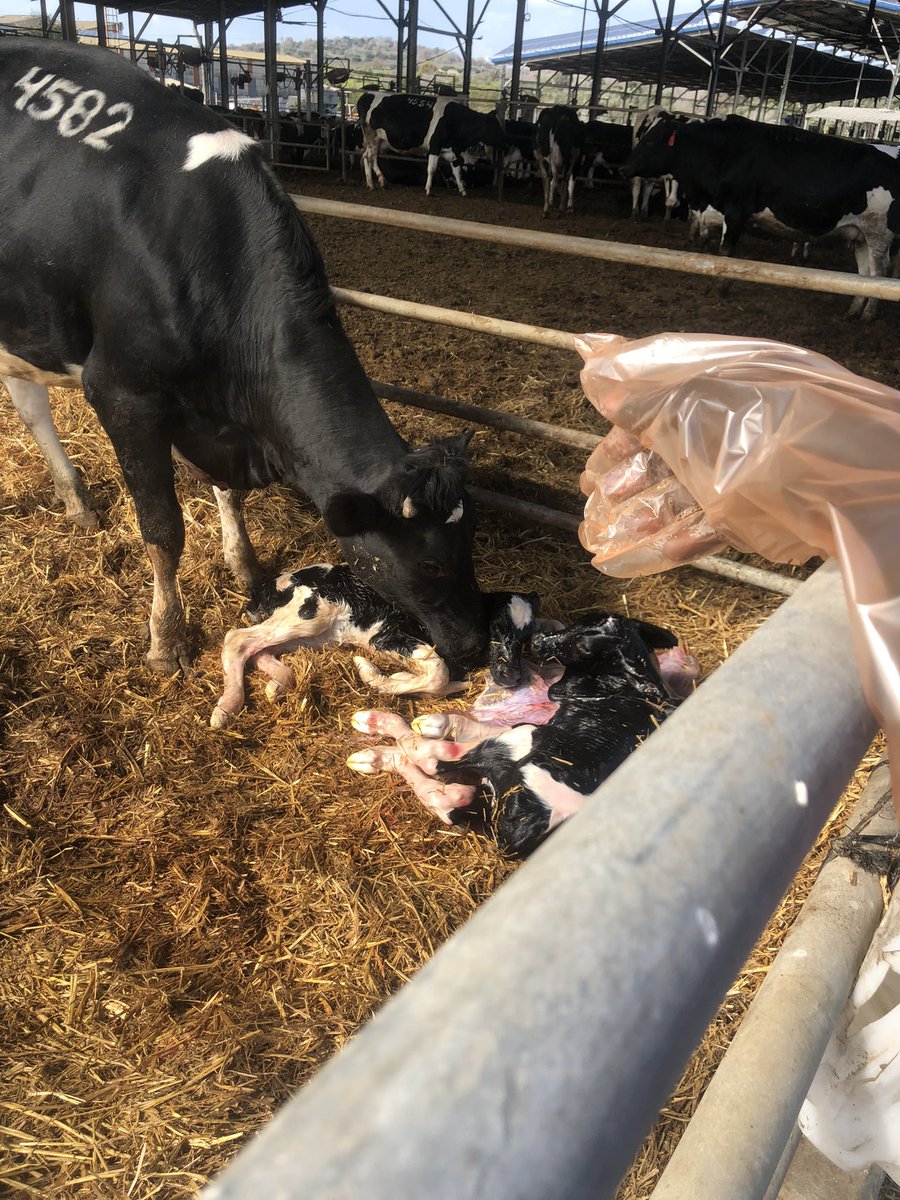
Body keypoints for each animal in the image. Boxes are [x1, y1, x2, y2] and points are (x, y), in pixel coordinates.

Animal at [0, 40, 488, 674]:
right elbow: (163, 530)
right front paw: (167, 638)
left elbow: (225, 492)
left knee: (29, 404)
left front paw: (246, 566)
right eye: (430, 561)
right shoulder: (122, 391)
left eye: (471, 538)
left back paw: (77, 501)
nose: (477, 646)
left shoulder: (217, 415)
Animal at [357, 91, 504, 196]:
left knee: (367, 157)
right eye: (495, 126)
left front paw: (462, 191)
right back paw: (378, 182)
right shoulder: (435, 147)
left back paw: (372, 183)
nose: (505, 140)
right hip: (373, 137)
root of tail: (367, 94)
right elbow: (431, 169)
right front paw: (428, 190)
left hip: (380, 142)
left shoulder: (454, 151)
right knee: (370, 158)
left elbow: (457, 172)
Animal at [623, 112, 900, 318]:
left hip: (879, 232)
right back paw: (853, 311)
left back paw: (868, 314)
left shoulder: (737, 210)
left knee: (879, 271)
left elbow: (726, 252)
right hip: (861, 234)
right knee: (864, 274)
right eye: (643, 136)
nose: (624, 168)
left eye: (651, 141)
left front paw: (721, 288)